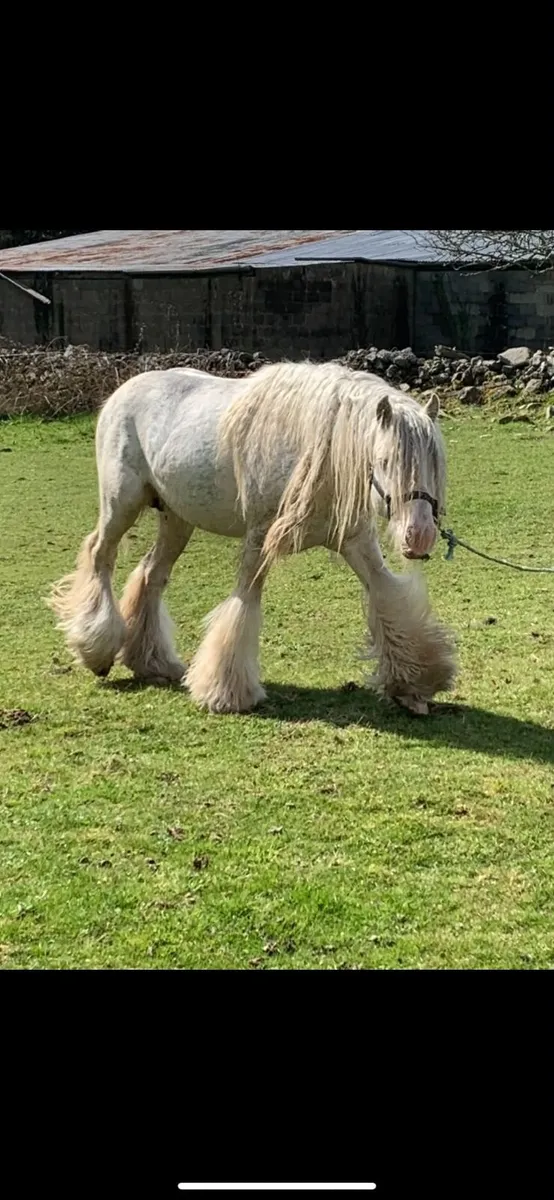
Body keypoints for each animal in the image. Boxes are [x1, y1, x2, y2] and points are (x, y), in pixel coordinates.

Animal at [47, 360, 456, 716]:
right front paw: (225, 693)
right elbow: (243, 605)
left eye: (436, 464)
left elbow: (388, 598)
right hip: (121, 505)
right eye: (386, 461)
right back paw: (96, 648)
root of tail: (123, 391)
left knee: (151, 574)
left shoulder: (357, 544)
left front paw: (414, 686)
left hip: (177, 520)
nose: (420, 536)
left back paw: (152, 662)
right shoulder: (259, 540)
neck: (316, 453)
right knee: (99, 555)